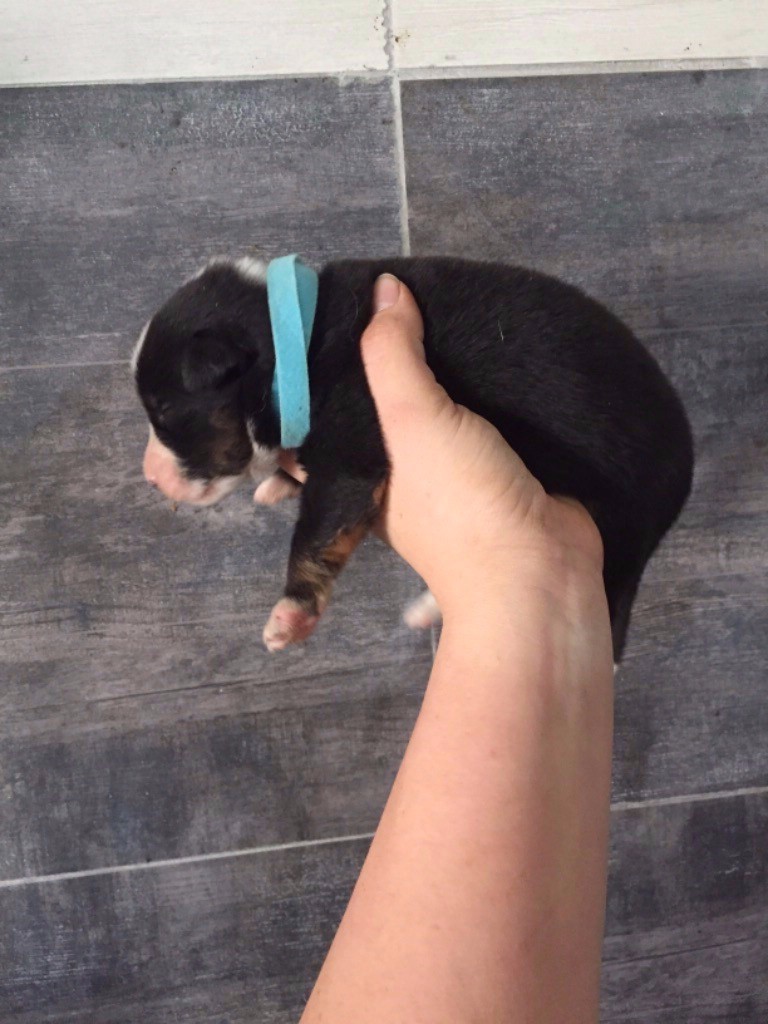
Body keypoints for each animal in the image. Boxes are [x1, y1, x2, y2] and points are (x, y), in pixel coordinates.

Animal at [133, 255, 694, 659]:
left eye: (163, 410)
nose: (149, 478)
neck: (297, 345)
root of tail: (684, 472)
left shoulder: (352, 448)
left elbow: (318, 532)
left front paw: (290, 616)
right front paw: (278, 484)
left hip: (618, 527)